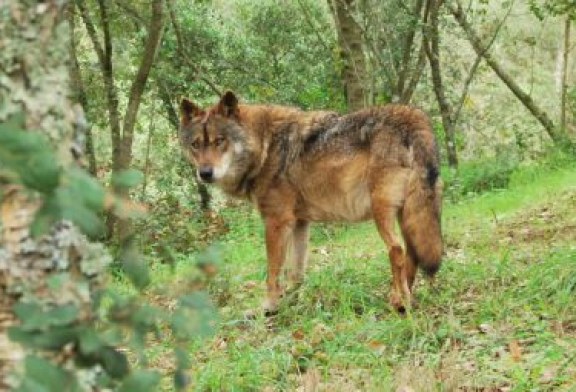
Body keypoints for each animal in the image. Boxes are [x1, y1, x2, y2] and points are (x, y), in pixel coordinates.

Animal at [179, 92, 440, 316]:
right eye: (196, 144)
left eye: (219, 141)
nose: (205, 173)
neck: (265, 148)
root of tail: (411, 116)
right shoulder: (300, 224)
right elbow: (296, 273)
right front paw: (290, 304)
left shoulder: (276, 222)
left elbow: (273, 272)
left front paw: (269, 308)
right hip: (407, 216)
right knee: (413, 253)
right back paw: (403, 297)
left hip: (382, 213)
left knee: (397, 250)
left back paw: (401, 303)